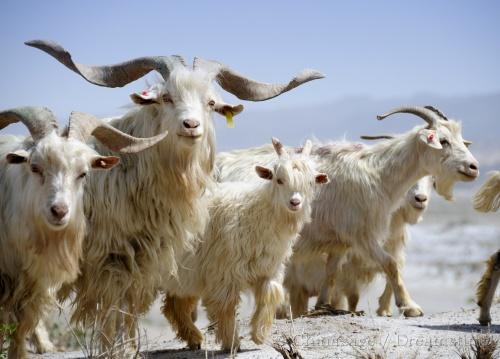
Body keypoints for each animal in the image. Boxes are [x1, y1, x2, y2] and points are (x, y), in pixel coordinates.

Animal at [162, 139, 330, 352]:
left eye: (310, 182)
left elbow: (270, 295)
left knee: (174, 305)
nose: (295, 202)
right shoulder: (224, 271)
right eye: (279, 180)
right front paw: (232, 343)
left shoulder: (268, 268)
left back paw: (194, 339)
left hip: (185, 275)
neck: (256, 211)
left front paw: (259, 335)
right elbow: (226, 305)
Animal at [217, 106, 478, 318]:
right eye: (443, 140)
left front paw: (322, 306)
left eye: (460, 139)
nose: (473, 167)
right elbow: (390, 263)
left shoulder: (341, 240)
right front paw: (410, 306)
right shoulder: (362, 234)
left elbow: (332, 271)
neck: (378, 173)